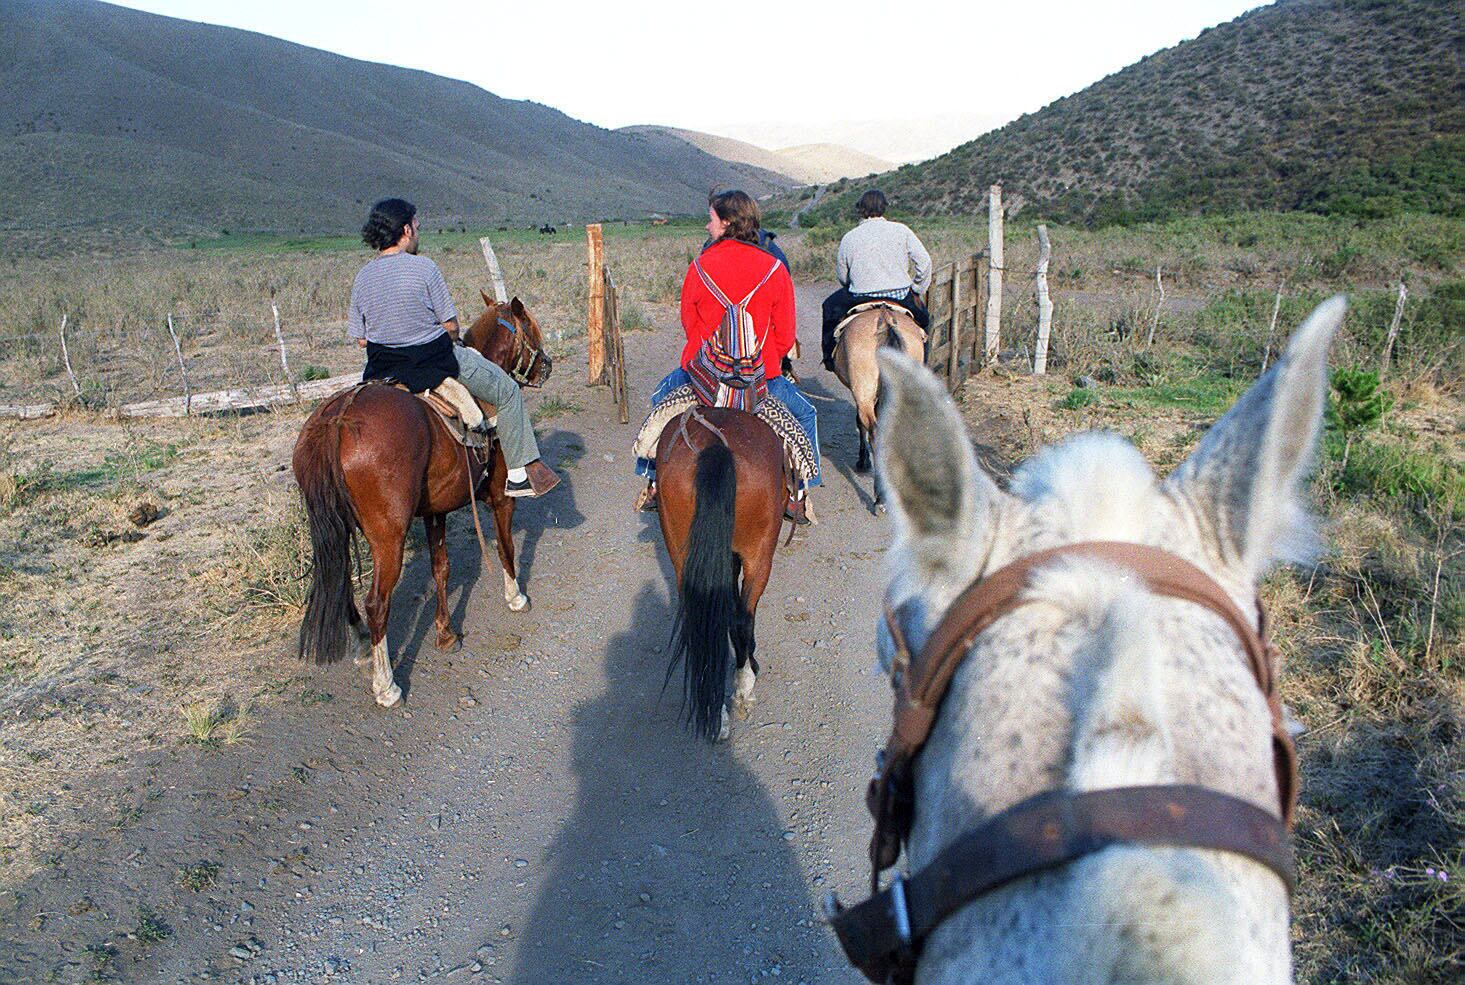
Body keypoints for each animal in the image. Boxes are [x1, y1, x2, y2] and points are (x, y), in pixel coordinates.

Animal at [290, 293, 550, 709]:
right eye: (531, 328)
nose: (546, 365)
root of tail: (338, 418)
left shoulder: (435, 510)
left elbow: (441, 567)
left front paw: (446, 634)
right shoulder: (498, 496)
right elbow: (506, 546)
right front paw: (516, 596)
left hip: (336, 530)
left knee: (344, 586)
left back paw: (363, 647)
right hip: (388, 536)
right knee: (376, 602)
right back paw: (387, 686)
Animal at [656, 404, 791, 738]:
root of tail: (716, 446)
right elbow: (740, 615)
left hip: (682, 550)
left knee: (704, 618)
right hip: (760, 554)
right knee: (742, 618)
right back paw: (743, 689)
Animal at [837, 303, 925, 513]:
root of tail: (884, 319)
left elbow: (860, 423)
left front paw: (863, 461)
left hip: (863, 391)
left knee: (874, 431)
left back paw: (881, 497)